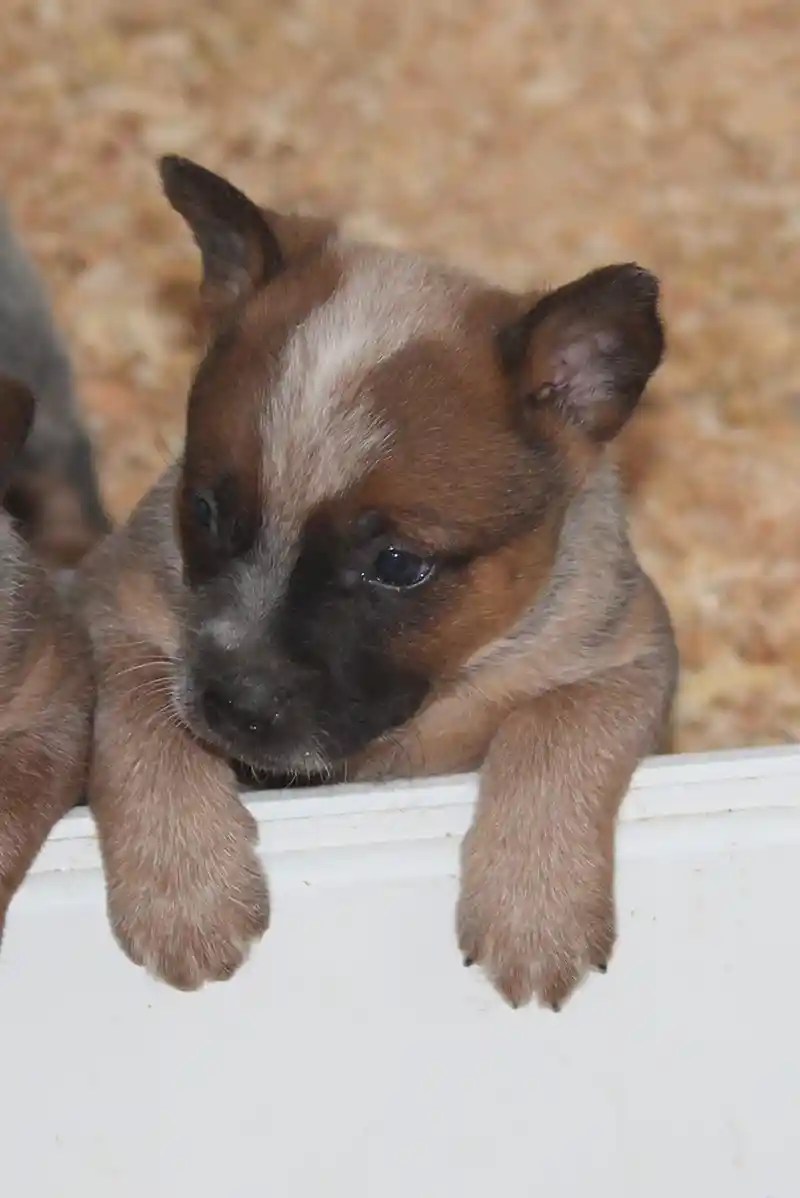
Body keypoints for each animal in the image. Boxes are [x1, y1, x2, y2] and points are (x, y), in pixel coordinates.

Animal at [81, 154, 680, 1006]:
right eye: (203, 509)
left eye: (397, 565)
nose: (233, 705)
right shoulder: (116, 603)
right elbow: (142, 723)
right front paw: (186, 896)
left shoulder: (627, 654)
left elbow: (553, 731)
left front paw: (534, 917)